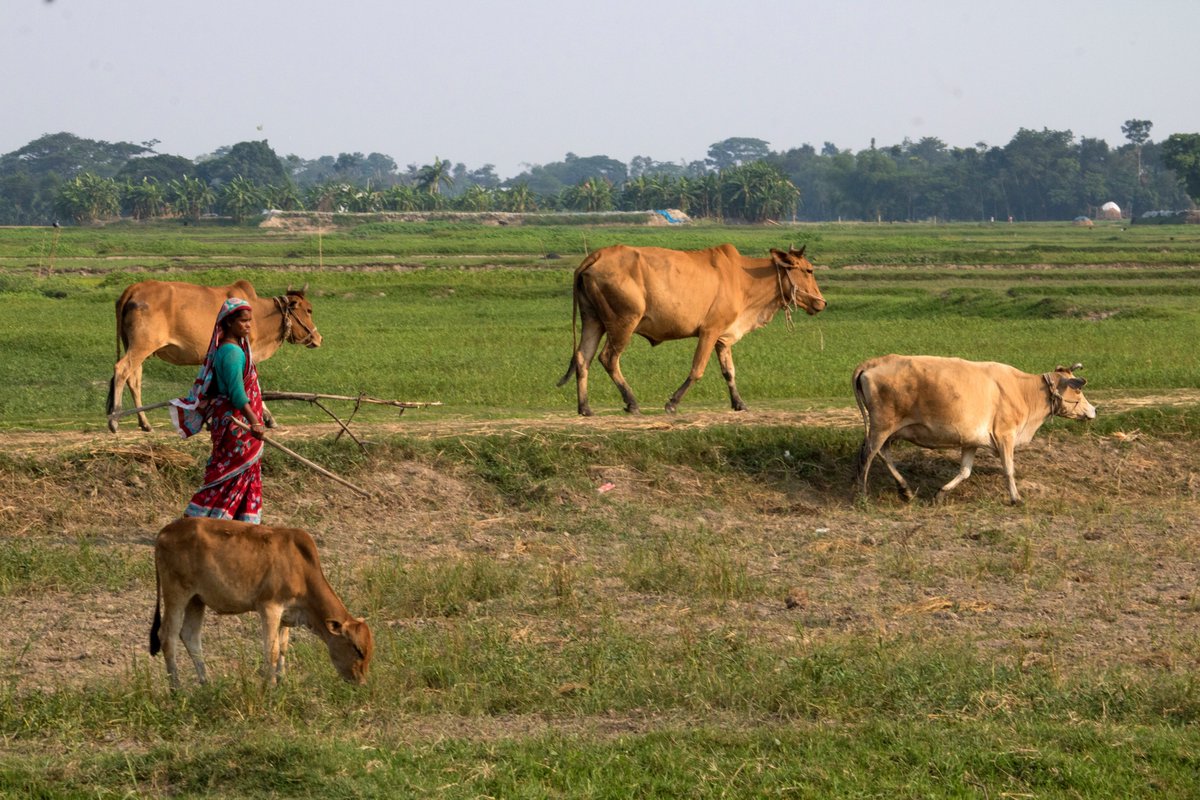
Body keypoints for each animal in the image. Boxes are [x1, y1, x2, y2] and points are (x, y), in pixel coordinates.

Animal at [108, 280, 321, 431]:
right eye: (309, 310)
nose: (318, 338)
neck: (260, 315)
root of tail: (133, 288)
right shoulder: (246, 350)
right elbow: (253, 384)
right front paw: (268, 419)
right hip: (142, 345)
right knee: (122, 370)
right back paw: (114, 419)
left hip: (136, 347)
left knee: (134, 379)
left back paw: (144, 423)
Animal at [151, 520, 374, 690]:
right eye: (358, 650)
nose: (362, 683)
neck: (301, 567)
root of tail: (164, 531)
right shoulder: (269, 607)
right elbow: (272, 650)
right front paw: (271, 686)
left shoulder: (287, 615)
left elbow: (283, 647)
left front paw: (282, 680)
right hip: (176, 594)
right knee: (168, 636)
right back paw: (176, 689)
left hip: (196, 600)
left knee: (191, 636)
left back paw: (206, 684)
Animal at [554, 242, 825, 419]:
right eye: (809, 270)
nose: (821, 303)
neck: (745, 279)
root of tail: (595, 256)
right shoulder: (709, 331)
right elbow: (697, 370)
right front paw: (672, 403)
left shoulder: (722, 338)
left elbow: (729, 372)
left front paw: (739, 403)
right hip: (624, 322)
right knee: (608, 358)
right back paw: (631, 403)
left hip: (593, 320)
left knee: (583, 358)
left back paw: (585, 408)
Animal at [854, 352, 1099, 503]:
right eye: (1078, 389)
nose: (1093, 410)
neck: (1024, 391)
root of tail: (872, 363)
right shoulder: (1005, 434)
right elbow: (1008, 469)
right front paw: (1016, 498)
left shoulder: (971, 440)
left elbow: (965, 471)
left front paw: (941, 494)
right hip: (882, 426)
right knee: (868, 454)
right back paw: (863, 494)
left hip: (889, 430)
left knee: (882, 453)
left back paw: (905, 490)